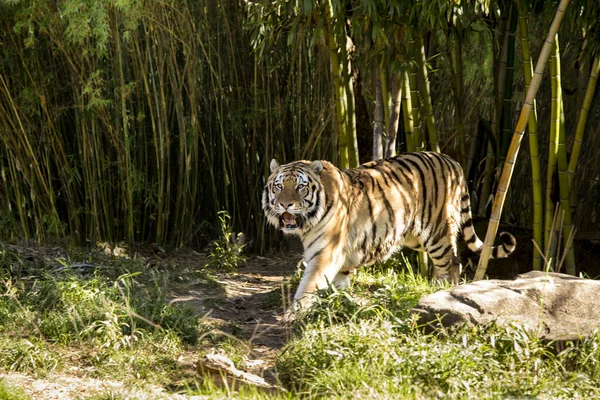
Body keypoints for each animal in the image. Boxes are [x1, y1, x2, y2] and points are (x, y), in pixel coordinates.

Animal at [262, 152, 516, 310]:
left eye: (300, 187)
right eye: (279, 186)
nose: (285, 204)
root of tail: (452, 161)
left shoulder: (325, 253)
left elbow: (308, 285)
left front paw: (295, 313)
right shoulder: (341, 253)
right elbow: (340, 280)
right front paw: (340, 301)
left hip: (436, 230)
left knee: (452, 262)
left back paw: (440, 294)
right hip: (414, 235)